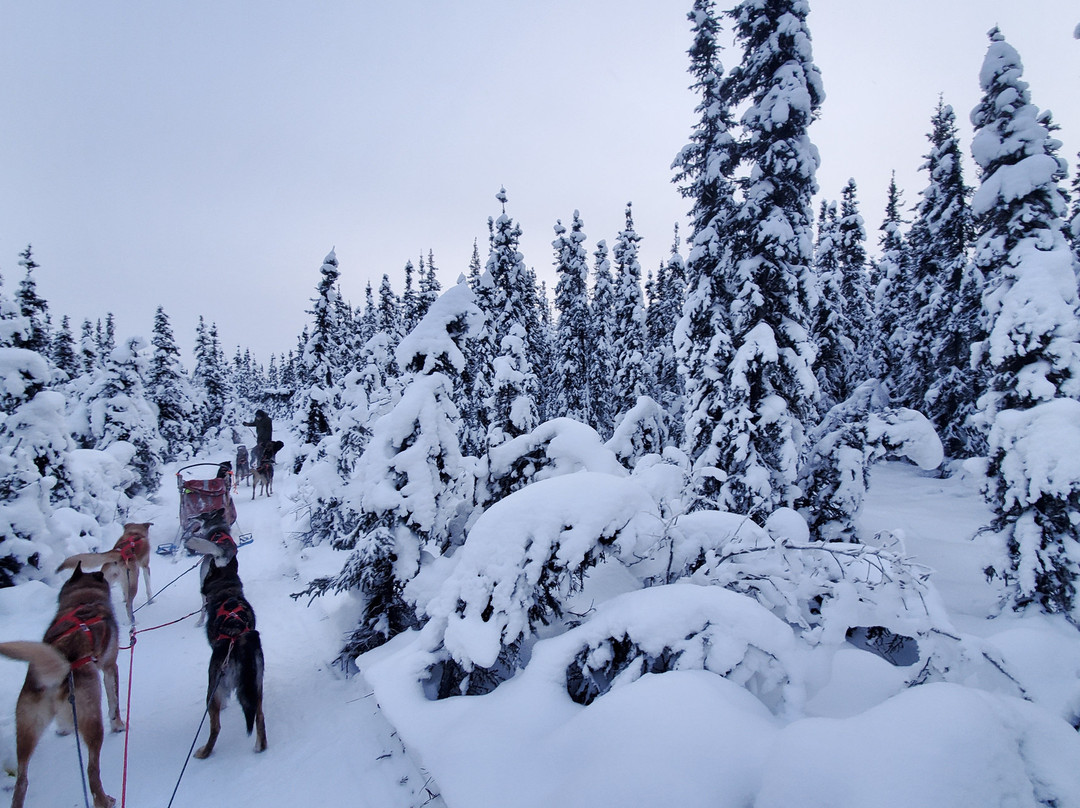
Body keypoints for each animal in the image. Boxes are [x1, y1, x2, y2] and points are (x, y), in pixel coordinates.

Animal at [0, 561, 124, 808]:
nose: (113, 564)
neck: (83, 600)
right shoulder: (110, 667)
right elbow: (114, 702)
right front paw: (119, 724)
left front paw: (64, 729)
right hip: (92, 721)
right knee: (92, 772)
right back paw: (105, 800)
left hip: (26, 731)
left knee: (22, 781)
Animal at [193, 553, 264, 760]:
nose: (201, 589)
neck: (227, 592)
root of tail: (237, 638)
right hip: (256, 685)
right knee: (259, 716)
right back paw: (260, 746)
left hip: (213, 687)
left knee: (216, 728)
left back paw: (204, 752)